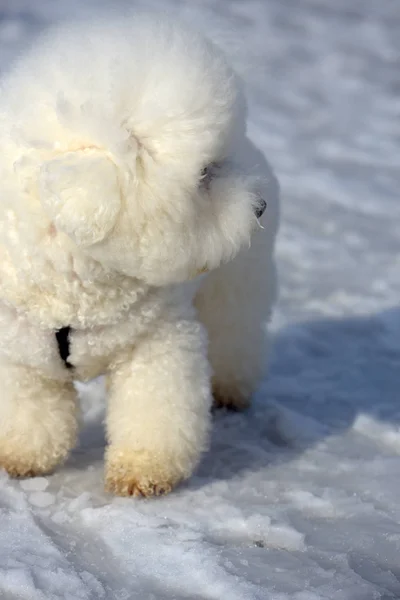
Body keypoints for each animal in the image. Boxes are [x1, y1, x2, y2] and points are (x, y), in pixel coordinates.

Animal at [0, 11, 278, 496]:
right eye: (204, 174)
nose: (258, 208)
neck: (78, 285)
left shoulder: (157, 341)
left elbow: (156, 410)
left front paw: (143, 471)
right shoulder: (19, 353)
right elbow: (28, 408)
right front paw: (22, 456)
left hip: (237, 285)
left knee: (236, 333)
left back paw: (230, 389)